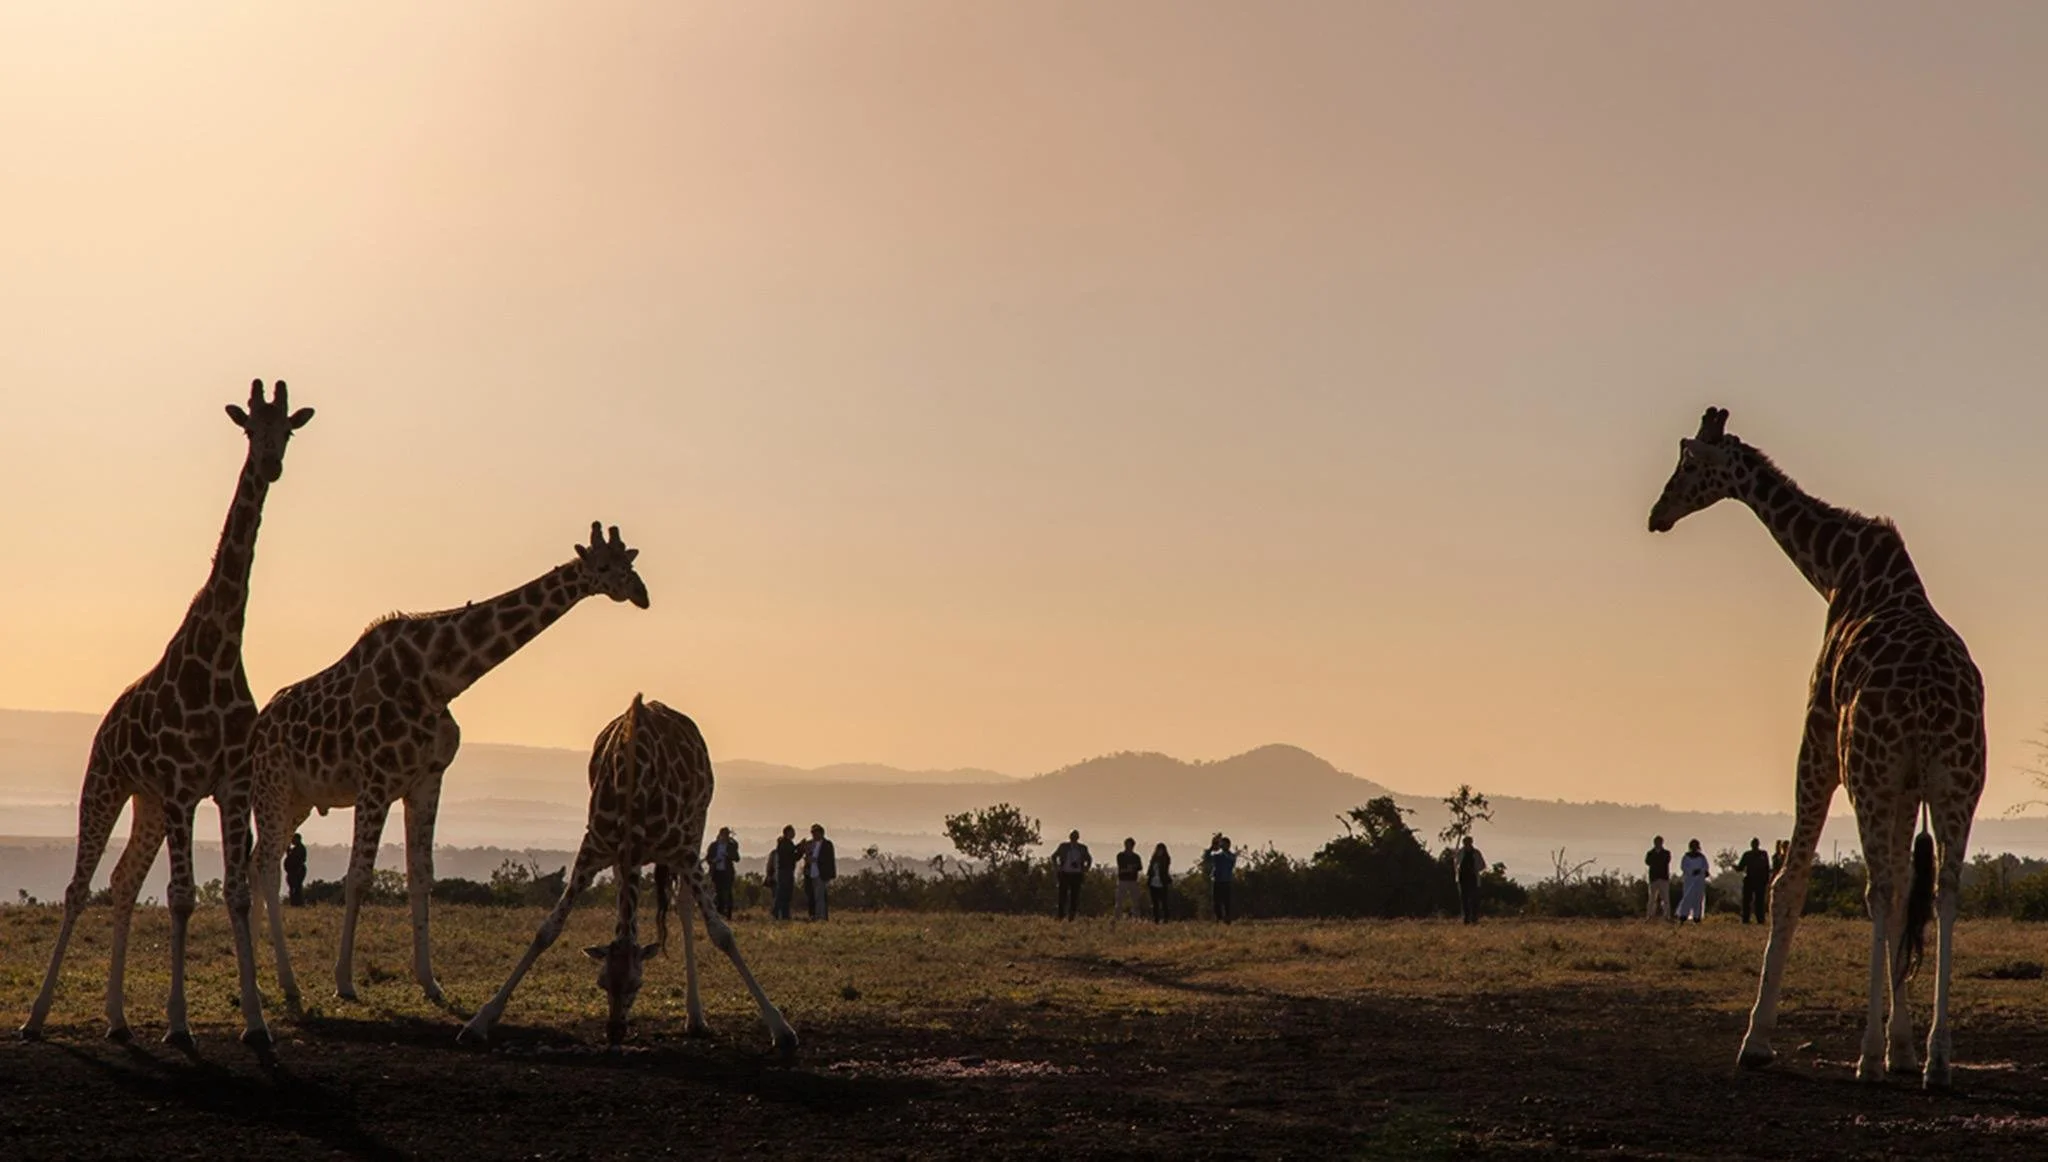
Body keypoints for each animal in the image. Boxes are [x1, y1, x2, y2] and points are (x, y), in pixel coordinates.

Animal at [20, 380, 314, 1047]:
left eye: (287, 429)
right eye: (248, 427)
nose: (271, 465)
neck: (221, 648)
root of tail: (104, 722)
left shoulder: (228, 785)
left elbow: (234, 894)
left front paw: (256, 1023)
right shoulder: (183, 786)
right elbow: (181, 898)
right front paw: (179, 1026)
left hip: (148, 802)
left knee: (122, 882)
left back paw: (117, 1019)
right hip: (106, 784)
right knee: (78, 887)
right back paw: (36, 1016)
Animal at [247, 522, 649, 1014]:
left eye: (630, 562)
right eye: (606, 566)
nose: (641, 594)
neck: (439, 678)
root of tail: (255, 730)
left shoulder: (426, 780)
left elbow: (422, 877)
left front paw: (430, 982)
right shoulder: (375, 781)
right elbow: (358, 878)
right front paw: (344, 981)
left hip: (298, 800)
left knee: (254, 865)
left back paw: (259, 985)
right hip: (272, 785)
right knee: (268, 866)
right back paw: (288, 984)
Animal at [459, 694, 797, 1057]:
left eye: (638, 983)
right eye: (601, 982)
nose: (615, 1032)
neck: (633, 789)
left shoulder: (682, 850)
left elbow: (722, 934)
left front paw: (782, 1030)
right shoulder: (594, 847)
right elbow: (546, 931)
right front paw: (478, 1023)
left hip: (696, 827)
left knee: (684, 907)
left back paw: (695, 1018)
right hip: (627, 858)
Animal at [1647, 406, 1985, 1088]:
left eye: (1688, 461)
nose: (1657, 513)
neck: (1836, 571)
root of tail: (1935, 704)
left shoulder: (1817, 744)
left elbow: (1789, 884)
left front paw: (1757, 1040)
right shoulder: (1910, 786)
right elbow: (1907, 895)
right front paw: (1904, 1047)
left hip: (1868, 774)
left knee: (1877, 889)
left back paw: (1867, 1056)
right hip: (1958, 783)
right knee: (1943, 891)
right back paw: (1936, 1059)